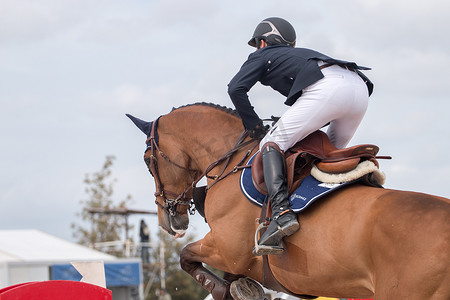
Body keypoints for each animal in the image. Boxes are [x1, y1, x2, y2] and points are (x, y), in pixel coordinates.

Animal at [126, 103, 450, 300]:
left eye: (147, 160)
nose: (168, 221)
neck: (233, 159)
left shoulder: (227, 249)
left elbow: (187, 257)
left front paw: (231, 290)